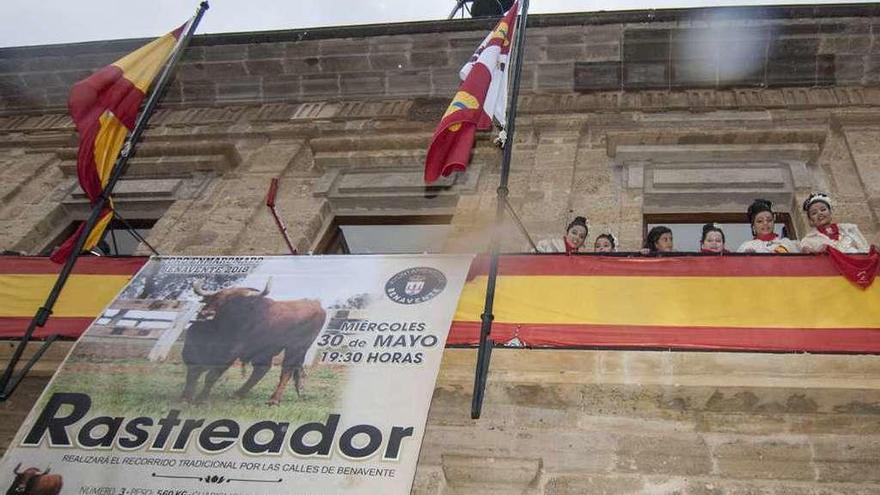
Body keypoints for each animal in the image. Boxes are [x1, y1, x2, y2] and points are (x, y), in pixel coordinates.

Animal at [182, 280, 326, 404]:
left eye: (233, 302)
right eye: (215, 298)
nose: (207, 314)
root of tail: (317, 305)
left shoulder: (229, 355)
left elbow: (211, 376)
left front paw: (201, 399)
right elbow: (192, 374)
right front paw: (186, 397)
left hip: (296, 348)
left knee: (286, 370)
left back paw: (274, 399)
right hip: (267, 350)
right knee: (262, 369)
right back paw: (238, 394)